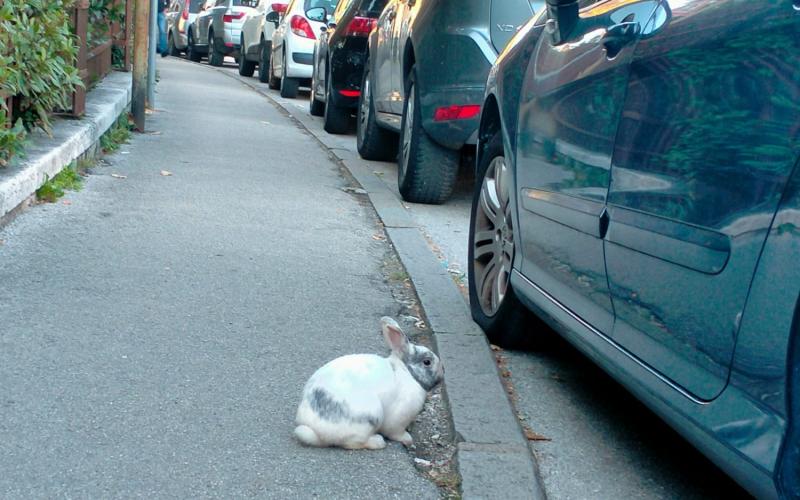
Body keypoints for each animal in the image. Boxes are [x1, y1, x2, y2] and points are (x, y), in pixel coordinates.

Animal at [294, 316, 444, 450]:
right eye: (427, 362)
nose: (442, 374)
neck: (407, 373)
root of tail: (316, 432)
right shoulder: (399, 418)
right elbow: (396, 432)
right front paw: (408, 440)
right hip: (370, 418)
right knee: (352, 443)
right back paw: (378, 442)